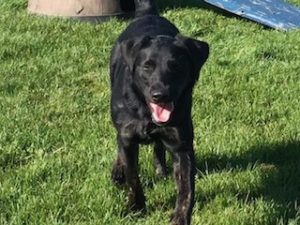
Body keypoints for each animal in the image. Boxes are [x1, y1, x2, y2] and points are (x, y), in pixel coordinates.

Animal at [109, 0, 209, 224]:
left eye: (176, 66)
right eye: (147, 66)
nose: (159, 95)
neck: (146, 112)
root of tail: (148, 14)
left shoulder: (181, 145)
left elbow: (186, 189)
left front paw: (180, 218)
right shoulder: (127, 137)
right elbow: (133, 178)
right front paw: (136, 208)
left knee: (158, 146)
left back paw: (160, 169)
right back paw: (118, 171)